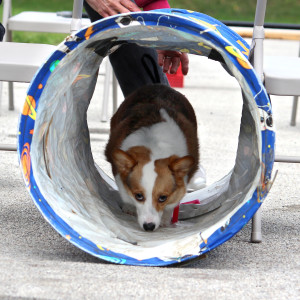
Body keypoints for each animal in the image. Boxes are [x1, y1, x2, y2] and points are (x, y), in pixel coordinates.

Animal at [105, 84, 199, 232]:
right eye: (138, 196)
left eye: (163, 198)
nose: (149, 227)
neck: (154, 149)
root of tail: (159, 85)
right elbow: (125, 194)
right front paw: (129, 207)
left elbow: (171, 204)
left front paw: (165, 220)